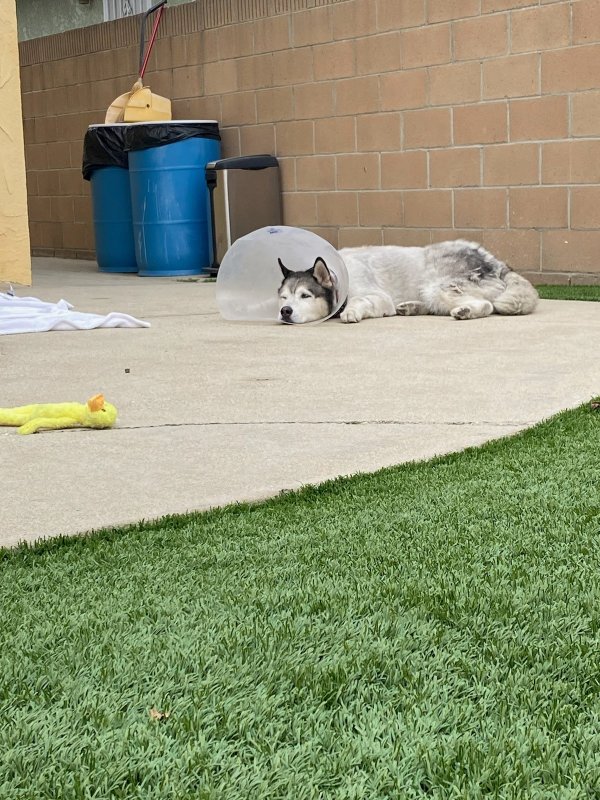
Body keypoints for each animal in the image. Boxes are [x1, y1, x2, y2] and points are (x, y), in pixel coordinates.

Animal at [278, 239, 540, 324]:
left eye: (305, 296)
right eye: (283, 298)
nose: (285, 311)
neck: (339, 277)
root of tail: (494, 260)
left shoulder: (379, 298)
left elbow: (359, 302)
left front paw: (351, 312)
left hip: (437, 287)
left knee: (486, 305)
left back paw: (465, 311)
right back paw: (410, 307)